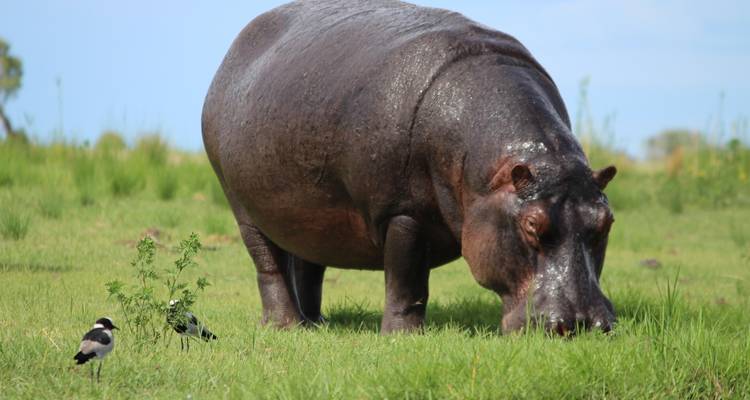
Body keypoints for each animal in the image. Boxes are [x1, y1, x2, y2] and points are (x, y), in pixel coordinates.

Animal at [202, 0, 618, 335]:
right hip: (242, 207)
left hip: (310, 212)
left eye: (606, 222)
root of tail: (230, 56)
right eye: (532, 225)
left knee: (309, 262)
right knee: (268, 265)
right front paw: (402, 336)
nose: (582, 324)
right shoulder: (402, 212)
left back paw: (316, 324)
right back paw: (284, 326)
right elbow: (406, 280)